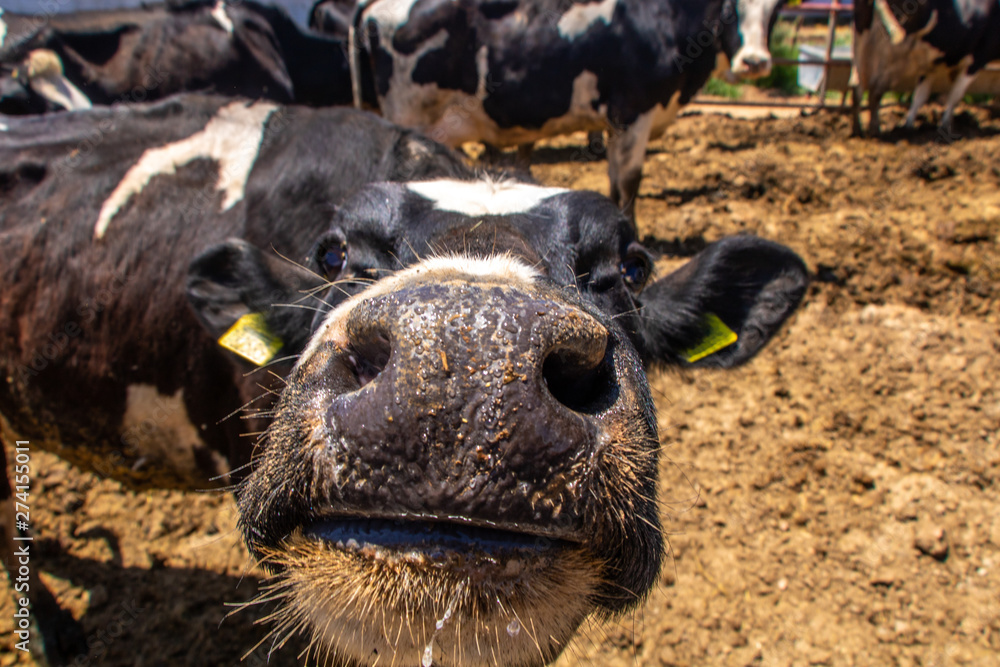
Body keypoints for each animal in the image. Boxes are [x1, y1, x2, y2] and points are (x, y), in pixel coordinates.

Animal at [852, 0, 1000, 137]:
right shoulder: (977, 59)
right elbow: (955, 96)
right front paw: (946, 126)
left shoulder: (932, 66)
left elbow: (920, 96)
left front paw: (908, 125)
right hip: (893, 49)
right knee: (875, 90)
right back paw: (874, 129)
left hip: (862, 39)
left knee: (858, 89)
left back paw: (857, 130)